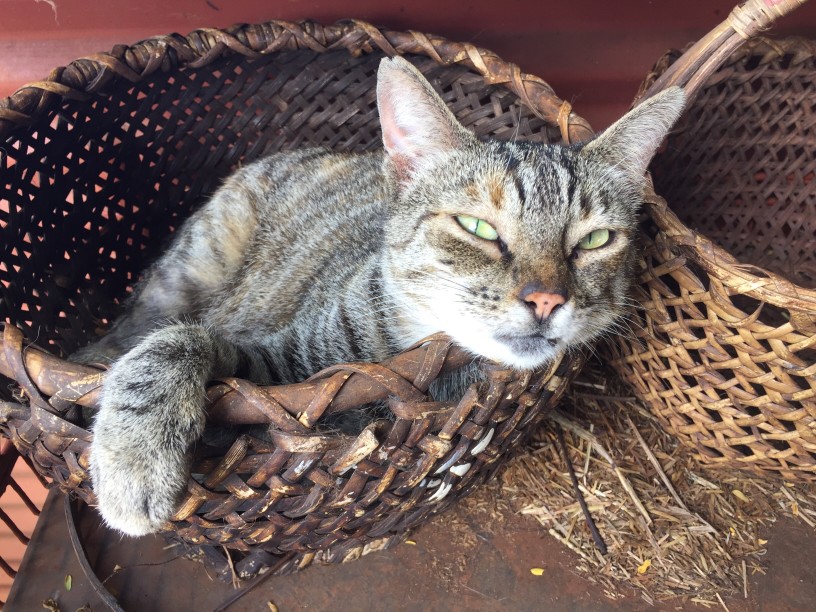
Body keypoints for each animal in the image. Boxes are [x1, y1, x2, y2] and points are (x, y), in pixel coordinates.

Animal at [79, 57, 684, 536]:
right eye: (477, 228)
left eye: (595, 240)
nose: (545, 299)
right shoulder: (276, 373)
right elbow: (181, 341)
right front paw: (133, 456)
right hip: (194, 263)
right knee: (138, 327)